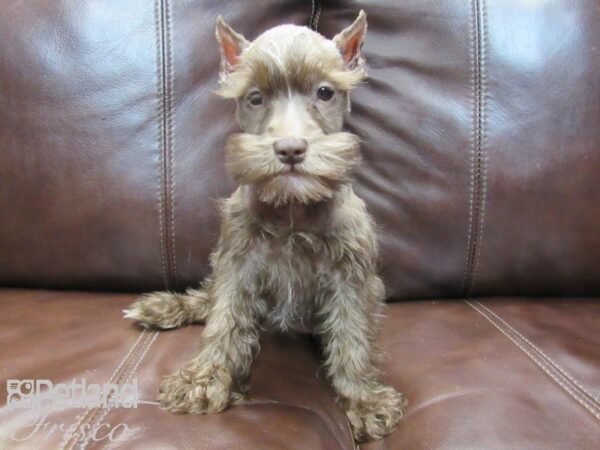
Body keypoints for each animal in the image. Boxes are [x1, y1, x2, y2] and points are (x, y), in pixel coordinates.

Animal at [124, 11, 400, 442]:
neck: (293, 207)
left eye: (325, 92)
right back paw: (165, 306)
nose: (290, 149)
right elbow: (224, 321)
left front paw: (363, 399)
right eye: (255, 98)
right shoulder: (237, 262)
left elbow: (353, 335)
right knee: (206, 300)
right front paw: (203, 380)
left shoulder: (352, 275)